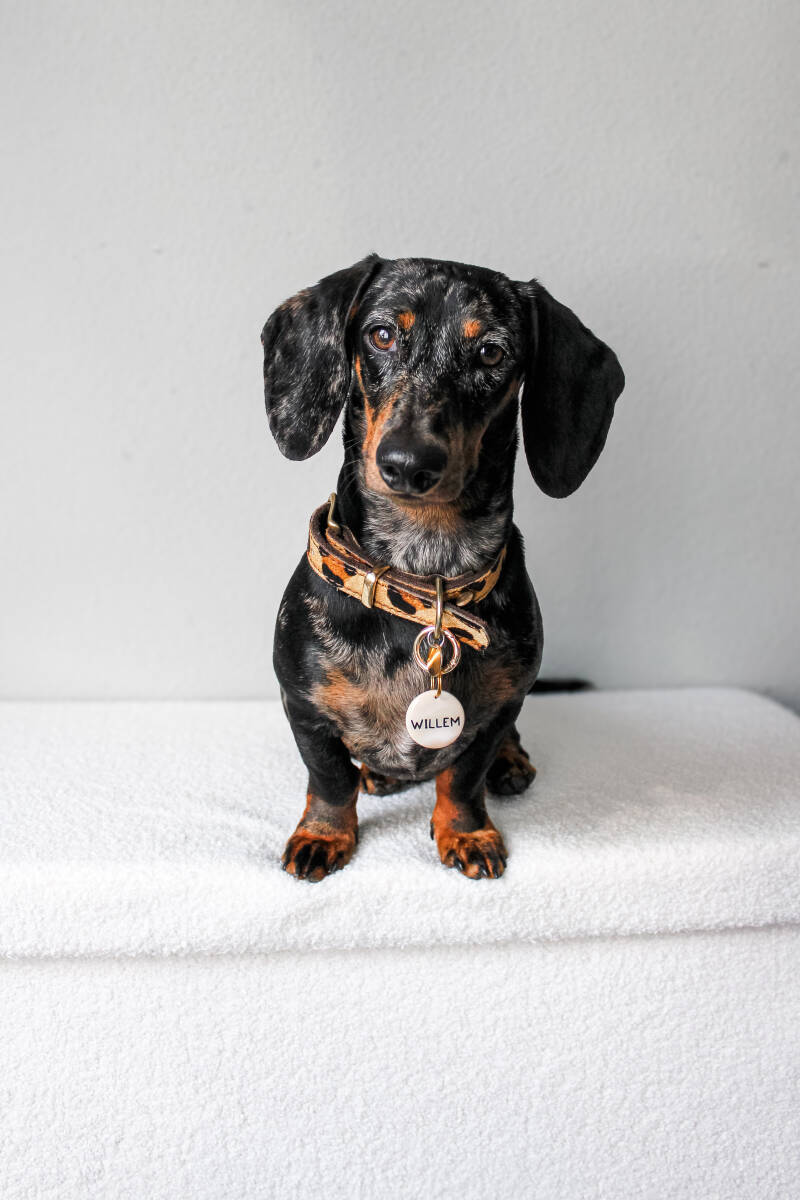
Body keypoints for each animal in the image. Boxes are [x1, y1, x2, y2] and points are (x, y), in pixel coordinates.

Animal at [262, 255, 624, 881]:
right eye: (382, 334)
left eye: (492, 353)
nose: (408, 463)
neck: (422, 573)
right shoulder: (303, 706)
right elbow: (329, 780)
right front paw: (323, 836)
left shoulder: (498, 710)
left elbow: (462, 778)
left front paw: (467, 833)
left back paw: (512, 764)